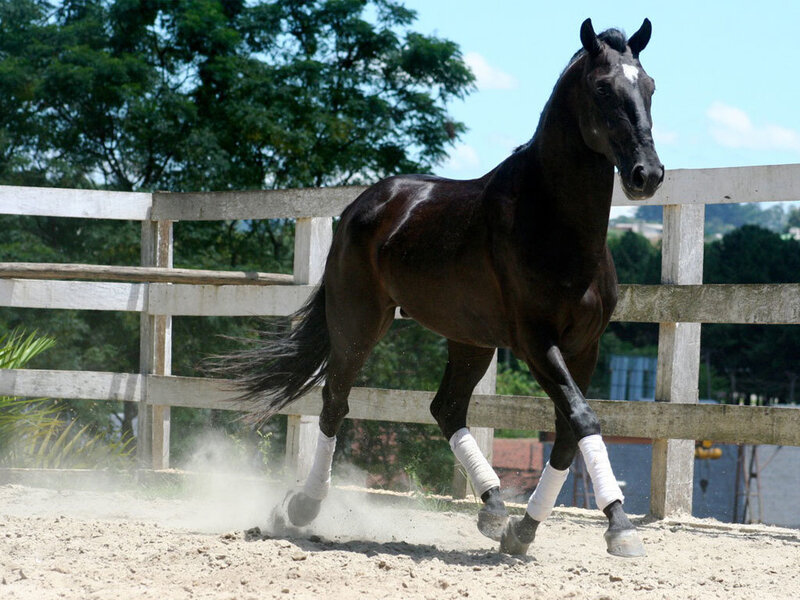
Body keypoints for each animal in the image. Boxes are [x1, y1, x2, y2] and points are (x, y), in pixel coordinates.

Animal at [224, 18, 663, 558]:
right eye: (603, 88)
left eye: (649, 87)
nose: (648, 175)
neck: (555, 224)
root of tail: (360, 205)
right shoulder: (536, 342)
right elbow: (582, 418)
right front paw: (619, 527)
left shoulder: (585, 345)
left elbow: (567, 430)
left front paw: (524, 530)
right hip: (358, 325)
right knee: (335, 402)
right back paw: (304, 506)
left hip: (470, 340)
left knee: (447, 409)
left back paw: (494, 509)